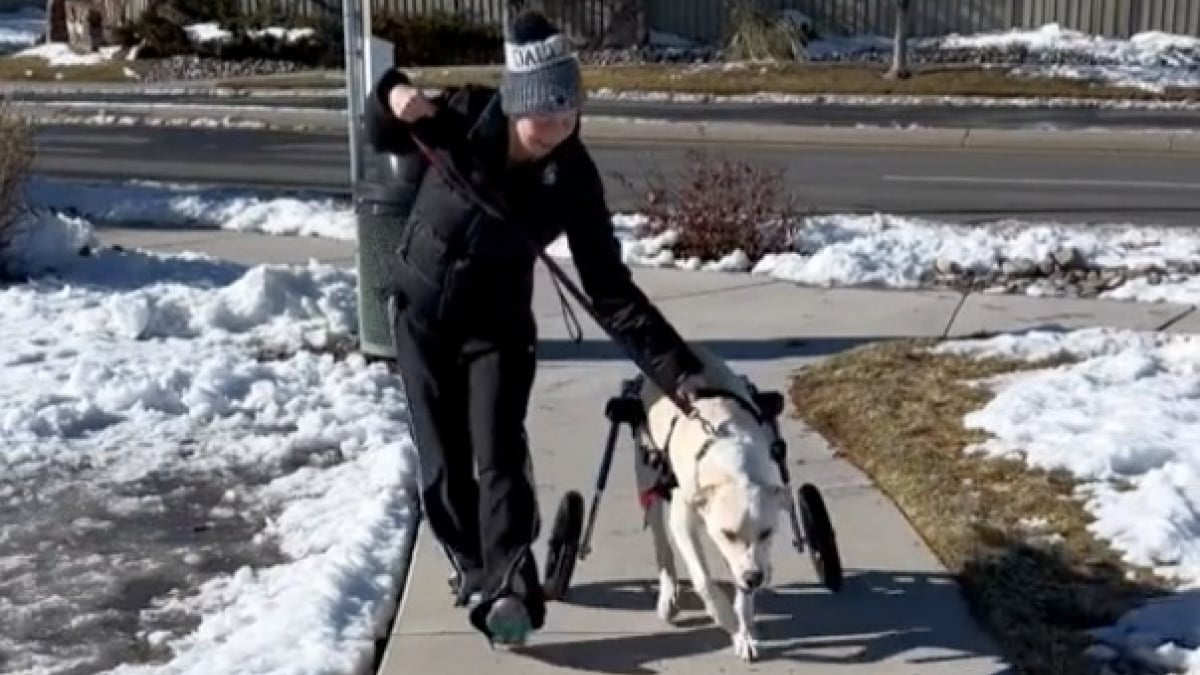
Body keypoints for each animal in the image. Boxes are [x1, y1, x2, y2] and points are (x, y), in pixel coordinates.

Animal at [633, 343, 792, 658]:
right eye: (728, 533)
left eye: (767, 533)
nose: (754, 578)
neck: (733, 464)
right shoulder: (685, 522)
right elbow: (704, 579)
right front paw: (727, 619)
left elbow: (741, 583)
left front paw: (744, 632)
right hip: (647, 475)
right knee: (661, 543)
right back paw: (667, 594)